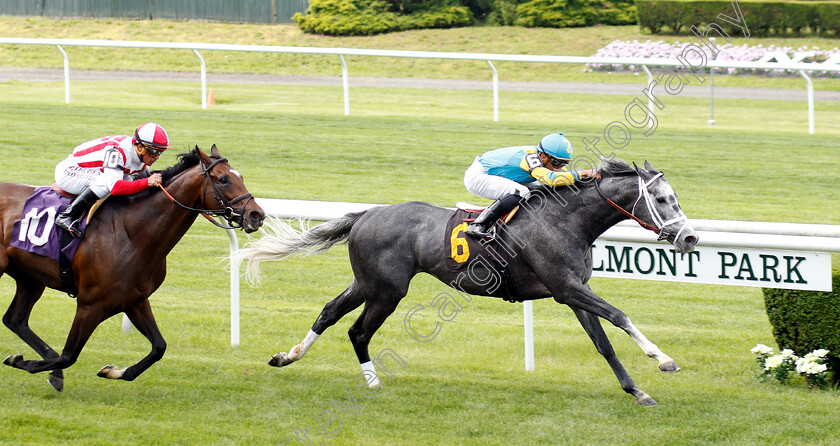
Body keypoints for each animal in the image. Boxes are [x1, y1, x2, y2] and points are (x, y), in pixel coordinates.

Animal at [0, 145, 262, 388]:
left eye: (241, 176)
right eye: (223, 179)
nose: (256, 214)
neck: (133, 233)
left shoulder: (135, 300)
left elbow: (159, 347)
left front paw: (114, 371)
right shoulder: (90, 305)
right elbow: (68, 356)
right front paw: (24, 362)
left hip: (30, 278)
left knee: (15, 319)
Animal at [240, 159, 700, 406]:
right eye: (663, 199)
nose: (690, 238)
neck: (566, 220)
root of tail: (367, 214)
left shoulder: (571, 293)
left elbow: (603, 343)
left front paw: (637, 391)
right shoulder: (568, 288)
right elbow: (620, 316)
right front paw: (663, 359)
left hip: (367, 283)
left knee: (329, 313)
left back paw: (288, 356)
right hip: (387, 290)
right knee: (358, 331)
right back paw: (371, 381)